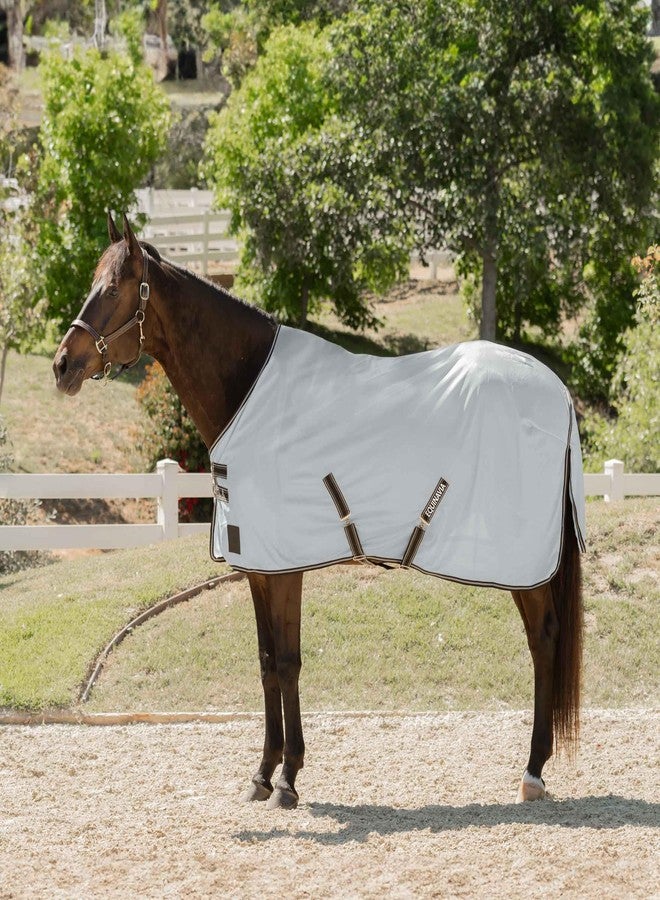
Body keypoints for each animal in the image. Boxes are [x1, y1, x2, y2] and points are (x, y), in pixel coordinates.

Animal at [53, 214, 584, 810]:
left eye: (113, 288)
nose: (62, 364)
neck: (249, 391)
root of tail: (558, 392)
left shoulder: (287, 566)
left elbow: (288, 662)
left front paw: (287, 778)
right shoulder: (259, 567)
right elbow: (266, 663)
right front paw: (263, 773)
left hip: (525, 564)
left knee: (544, 638)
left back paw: (533, 771)